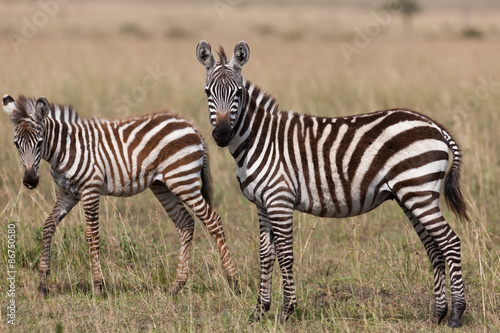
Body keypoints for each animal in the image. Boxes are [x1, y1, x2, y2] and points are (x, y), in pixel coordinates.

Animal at [2, 93, 238, 296]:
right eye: (16, 144)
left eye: (40, 142)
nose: (30, 181)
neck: (66, 149)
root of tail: (190, 125)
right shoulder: (68, 194)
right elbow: (48, 226)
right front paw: (42, 285)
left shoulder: (90, 190)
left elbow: (92, 236)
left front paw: (98, 286)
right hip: (163, 186)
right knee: (186, 223)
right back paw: (176, 286)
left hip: (183, 180)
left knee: (213, 221)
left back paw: (233, 281)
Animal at [197, 39, 470, 326]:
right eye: (208, 93)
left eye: (238, 93)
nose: (222, 134)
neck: (258, 140)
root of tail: (435, 126)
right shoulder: (262, 204)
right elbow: (265, 255)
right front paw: (259, 311)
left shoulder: (279, 200)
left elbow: (285, 254)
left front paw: (287, 311)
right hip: (411, 195)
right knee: (434, 248)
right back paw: (438, 313)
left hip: (419, 191)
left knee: (450, 242)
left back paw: (456, 314)